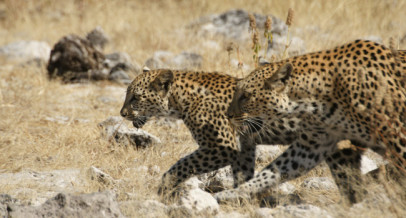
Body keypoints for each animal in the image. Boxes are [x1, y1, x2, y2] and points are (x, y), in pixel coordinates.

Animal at [120, 67, 384, 204]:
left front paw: (163, 188)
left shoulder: (222, 147)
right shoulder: (243, 147)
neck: (179, 101)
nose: (122, 113)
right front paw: (242, 200)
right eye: (127, 95)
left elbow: (181, 165)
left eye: (135, 97)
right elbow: (242, 175)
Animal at [214, 39, 404, 204]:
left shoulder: (398, 136)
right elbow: (273, 170)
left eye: (245, 96)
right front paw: (233, 192)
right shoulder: (313, 144)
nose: (228, 115)